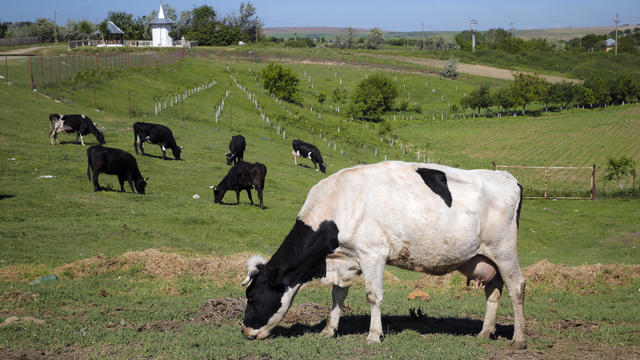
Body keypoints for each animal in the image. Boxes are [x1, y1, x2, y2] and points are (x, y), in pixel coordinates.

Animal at [240, 162, 524, 348]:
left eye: (252, 296)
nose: (245, 331)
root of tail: (507, 177)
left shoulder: (373, 253)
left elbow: (372, 296)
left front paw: (374, 335)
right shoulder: (346, 259)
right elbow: (337, 296)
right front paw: (329, 330)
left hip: (505, 251)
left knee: (516, 288)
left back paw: (518, 339)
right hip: (486, 258)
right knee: (493, 291)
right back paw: (485, 332)